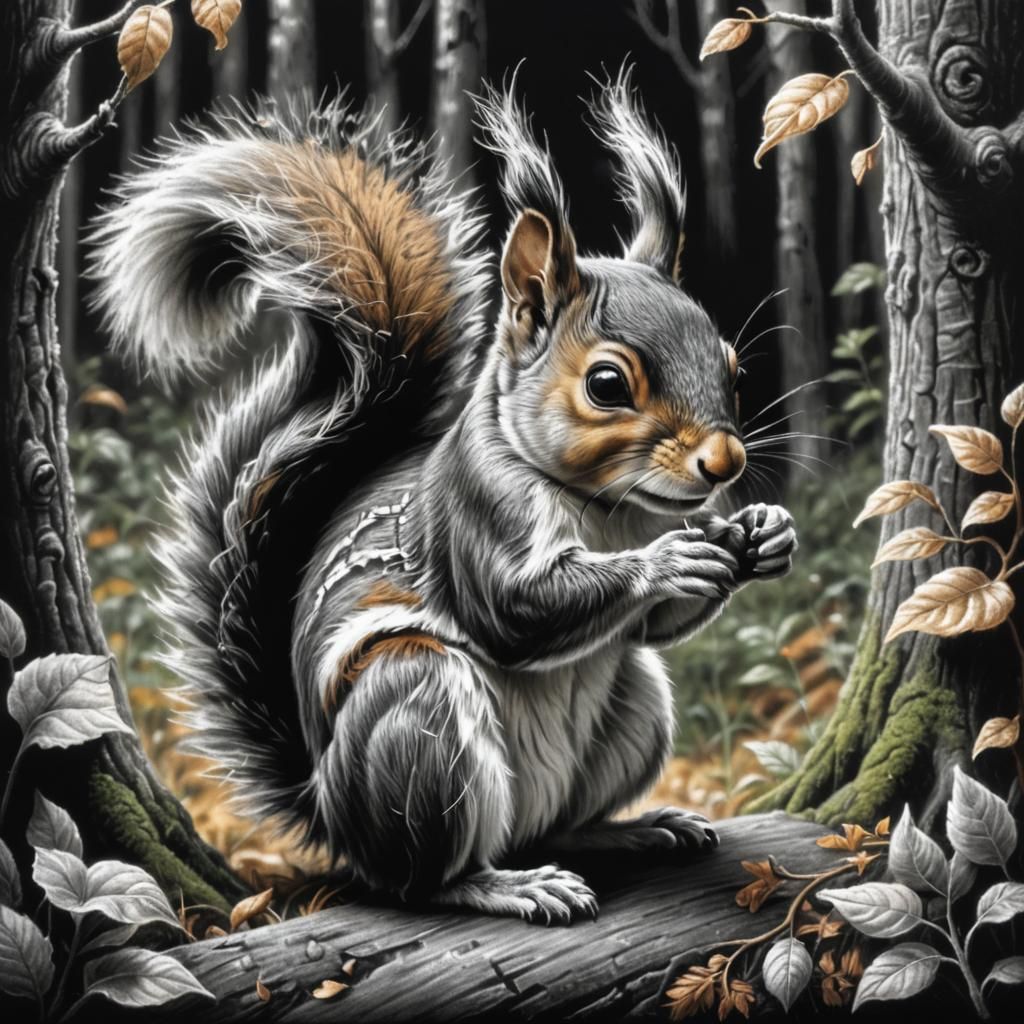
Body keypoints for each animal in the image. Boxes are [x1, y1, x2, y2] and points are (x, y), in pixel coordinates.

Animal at [89, 75, 797, 925]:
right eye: (606, 384)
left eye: (731, 366)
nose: (725, 463)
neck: (610, 507)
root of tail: (329, 811)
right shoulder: (476, 513)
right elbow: (515, 607)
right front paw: (667, 561)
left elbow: (655, 627)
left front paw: (764, 533)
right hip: (417, 718)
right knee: (423, 880)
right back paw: (507, 884)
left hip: (634, 704)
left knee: (561, 822)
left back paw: (629, 830)